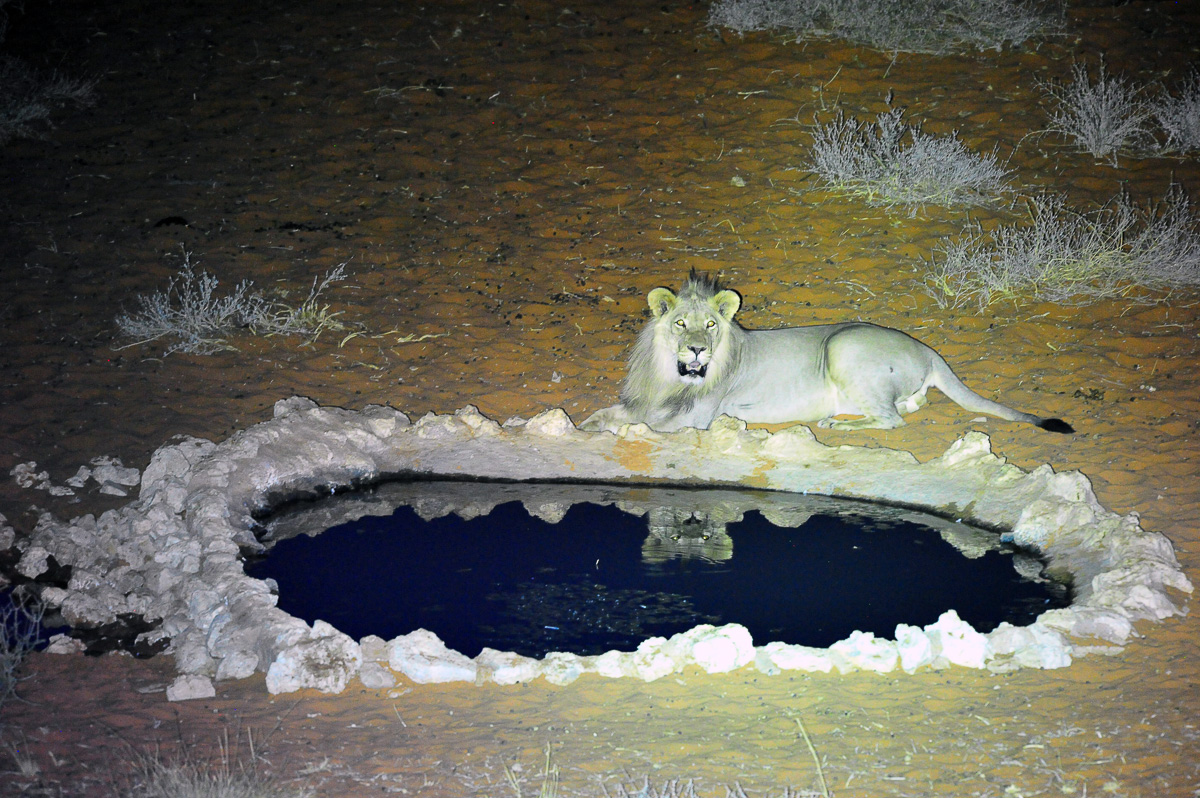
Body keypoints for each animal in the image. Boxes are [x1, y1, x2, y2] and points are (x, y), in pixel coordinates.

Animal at [579, 272, 1073, 435]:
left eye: (712, 326)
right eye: (681, 323)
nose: (698, 350)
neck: (672, 373)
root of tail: (928, 350)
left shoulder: (695, 418)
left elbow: (632, 424)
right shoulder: (647, 399)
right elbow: (610, 412)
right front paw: (584, 425)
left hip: (843, 344)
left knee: (891, 420)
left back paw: (837, 425)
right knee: (903, 409)